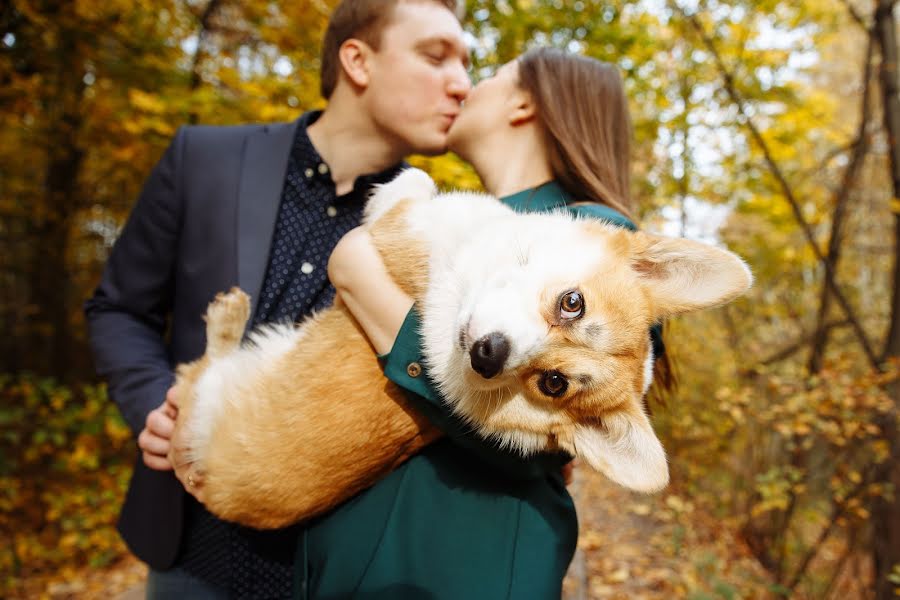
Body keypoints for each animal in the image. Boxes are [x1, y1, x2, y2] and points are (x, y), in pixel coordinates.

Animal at [169, 169, 752, 528]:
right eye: (573, 303)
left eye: (552, 383)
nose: (489, 355)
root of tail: (213, 491)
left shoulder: (401, 228)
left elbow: (412, 184)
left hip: (208, 397)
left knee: (195, 370)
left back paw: (227, 319)